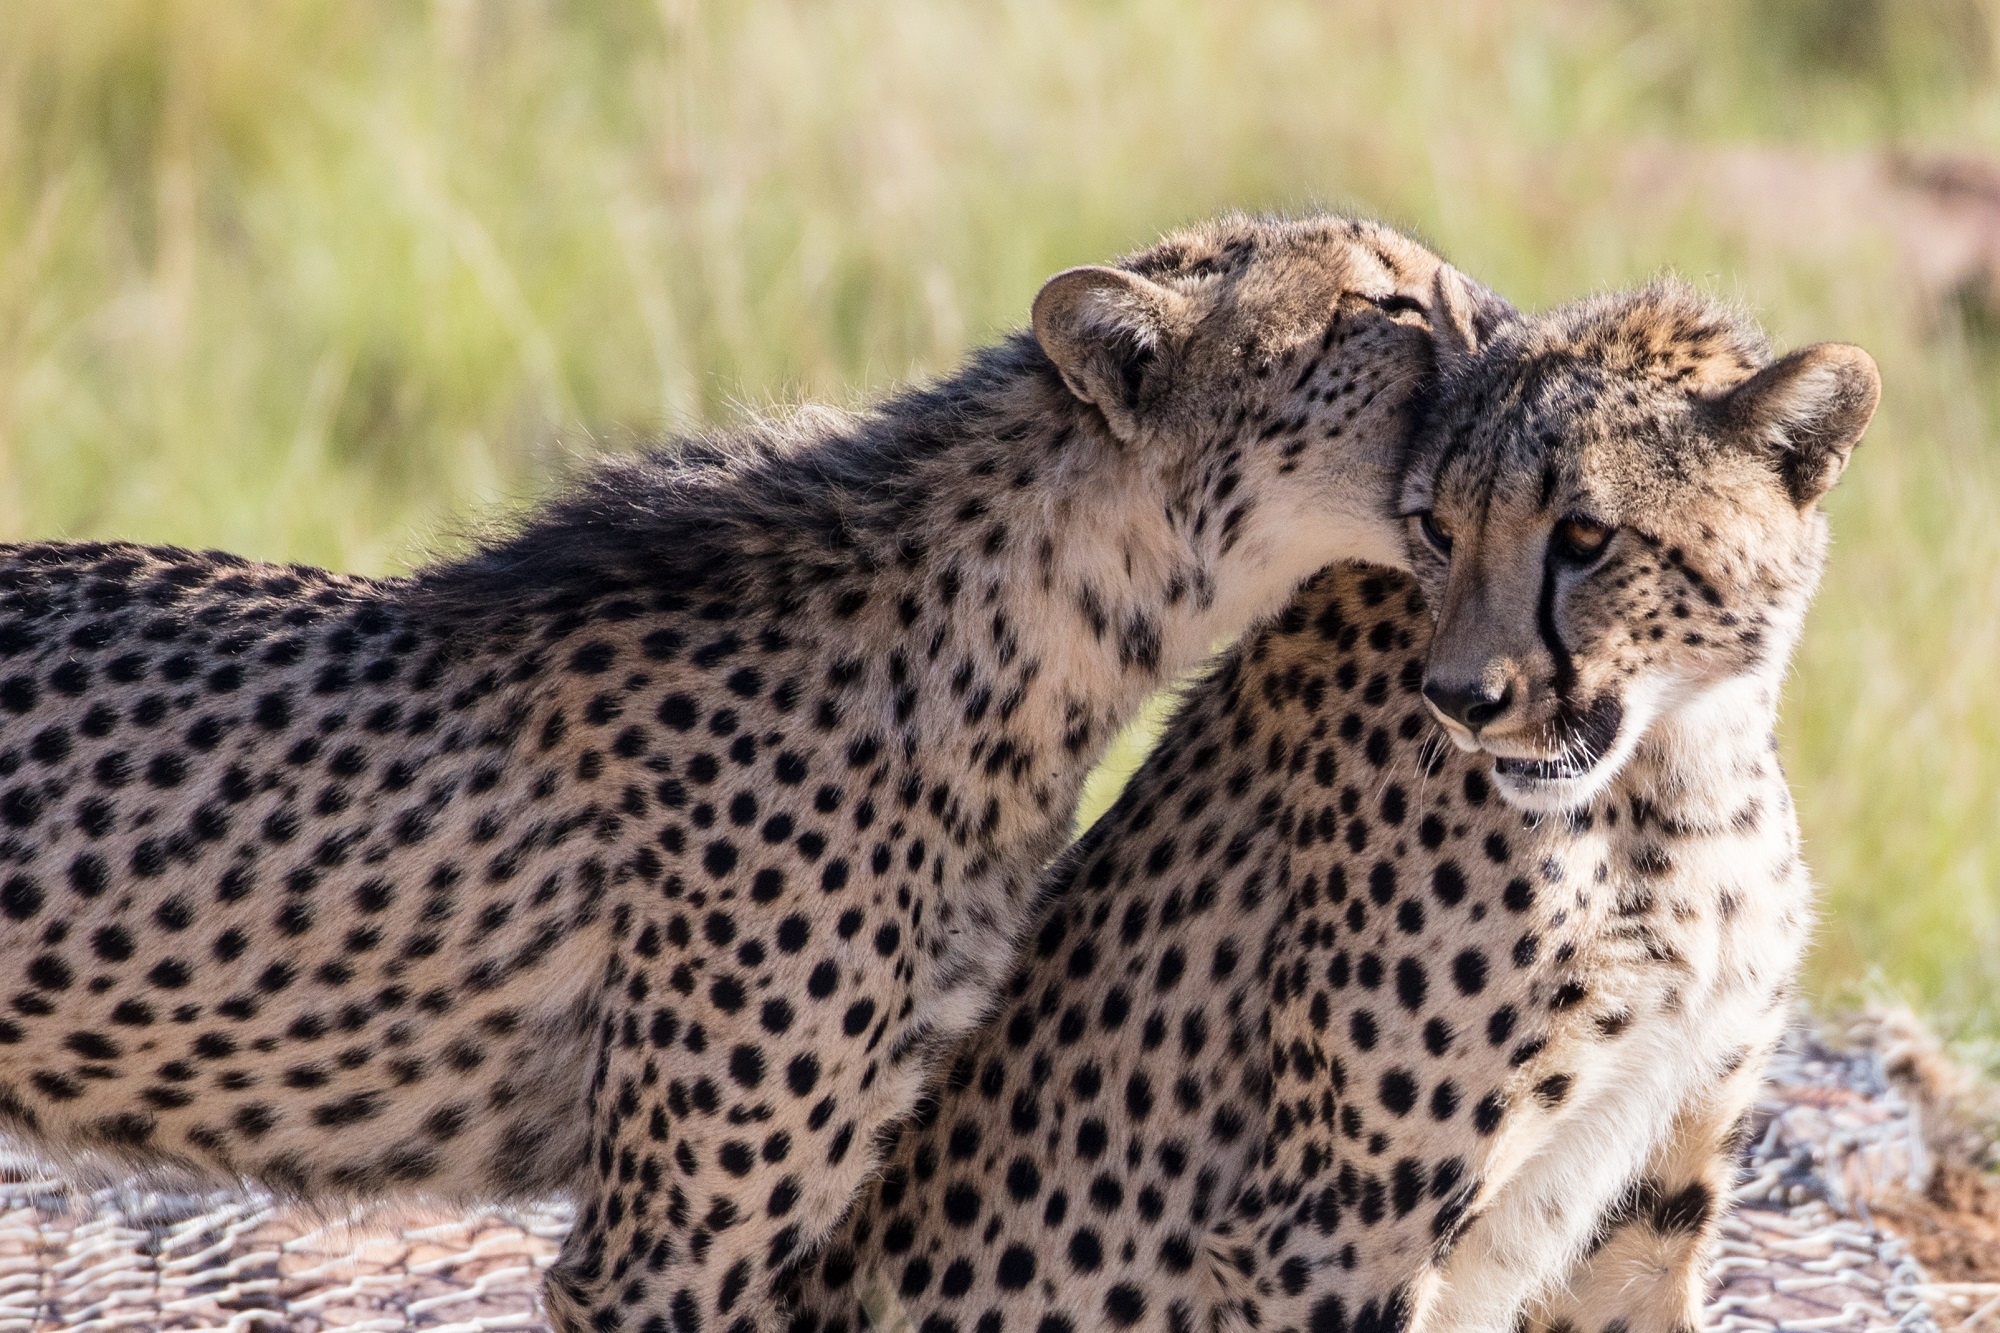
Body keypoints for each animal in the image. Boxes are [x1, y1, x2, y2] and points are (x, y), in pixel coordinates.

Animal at [792, 278, 1872, 1328]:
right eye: (1437, 526)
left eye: (1583, 535)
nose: (1460, 699)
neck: (1679, 775)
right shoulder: (1329, 1235)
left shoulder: (1652, 1201)